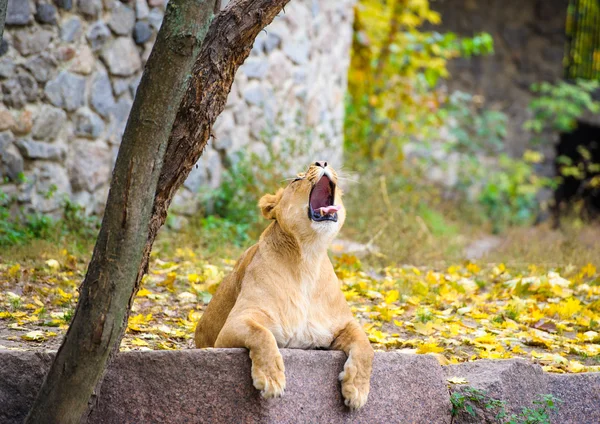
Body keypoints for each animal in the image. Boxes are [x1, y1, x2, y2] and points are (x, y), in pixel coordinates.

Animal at [195, 161, 372, 410]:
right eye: (296, 180)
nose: (322, 162)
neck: (309, 258)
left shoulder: (342, 323)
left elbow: (367, 346)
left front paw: (356, 390)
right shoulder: (232, 326)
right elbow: (261, 334)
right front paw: (271, 379)